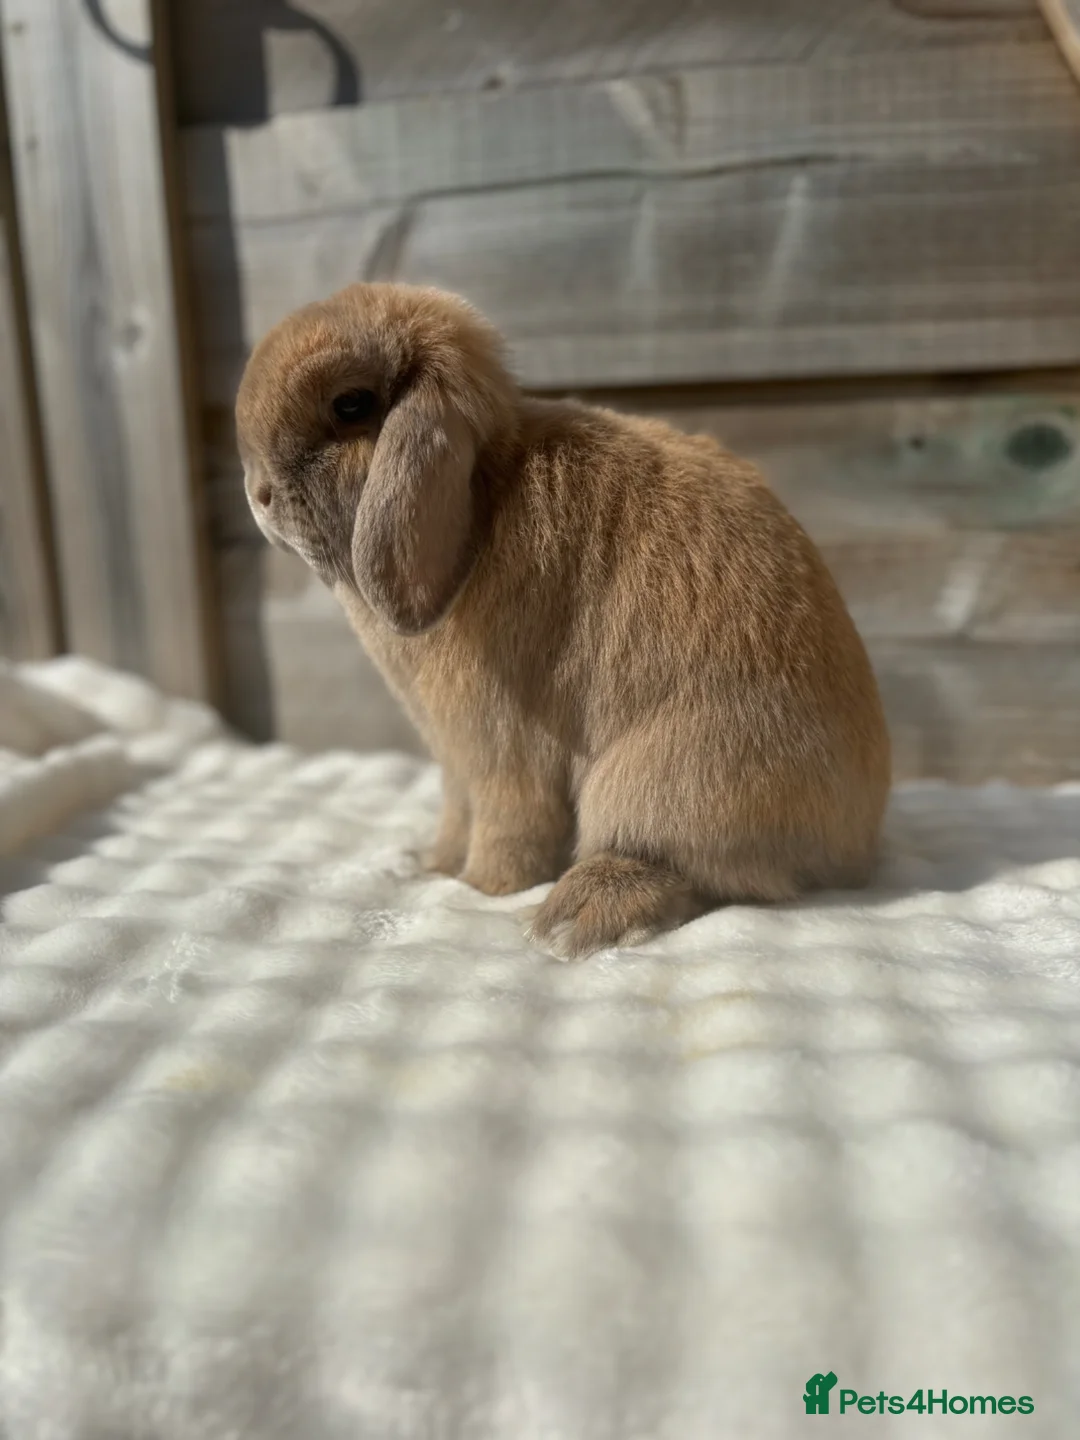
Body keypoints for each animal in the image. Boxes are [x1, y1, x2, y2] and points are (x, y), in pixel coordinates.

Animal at [236, 282, 891, 958]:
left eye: (351, 405)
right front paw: (433, 866)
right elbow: (456, 816)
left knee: (700, 872)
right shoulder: (456, 766)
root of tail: (856, 843)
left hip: (663, 778)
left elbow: (511, 830)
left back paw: (575, 918)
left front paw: (481, 888)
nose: (256, 495)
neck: (483, 497)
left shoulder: (501, 752)